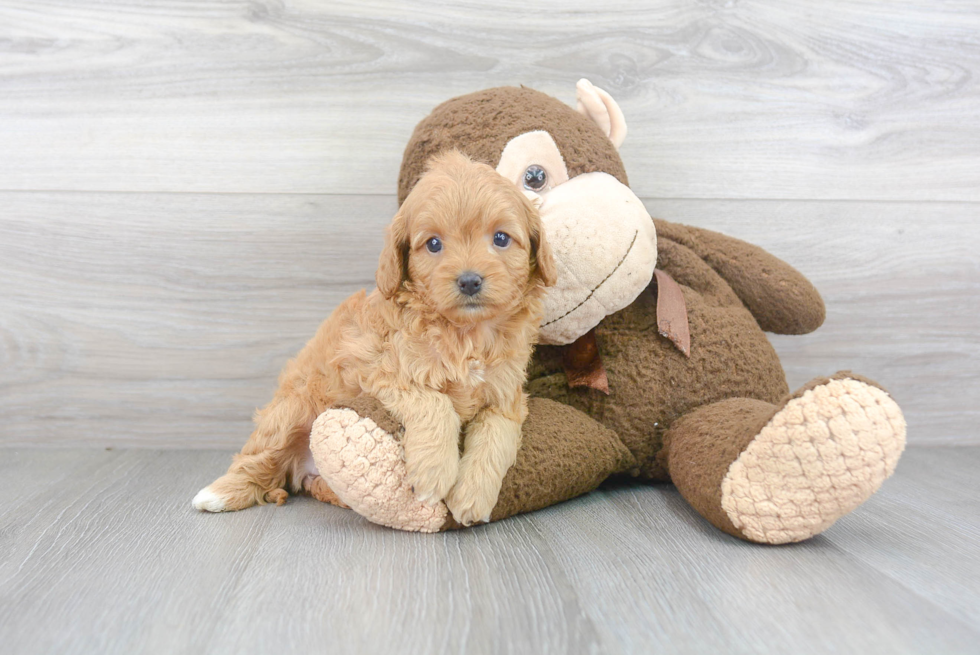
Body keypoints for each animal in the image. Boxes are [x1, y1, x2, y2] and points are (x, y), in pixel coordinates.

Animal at [193, 151, 560, 524]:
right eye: (434, 244)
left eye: (500, 238)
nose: (469, 281)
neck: (466, 333)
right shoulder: (379, 370)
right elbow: (435, 403)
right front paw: (433, 472)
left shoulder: (506, 396)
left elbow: (495, 436)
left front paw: (472, 496)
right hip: (292, 409)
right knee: (257, 458)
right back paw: (219, 494)